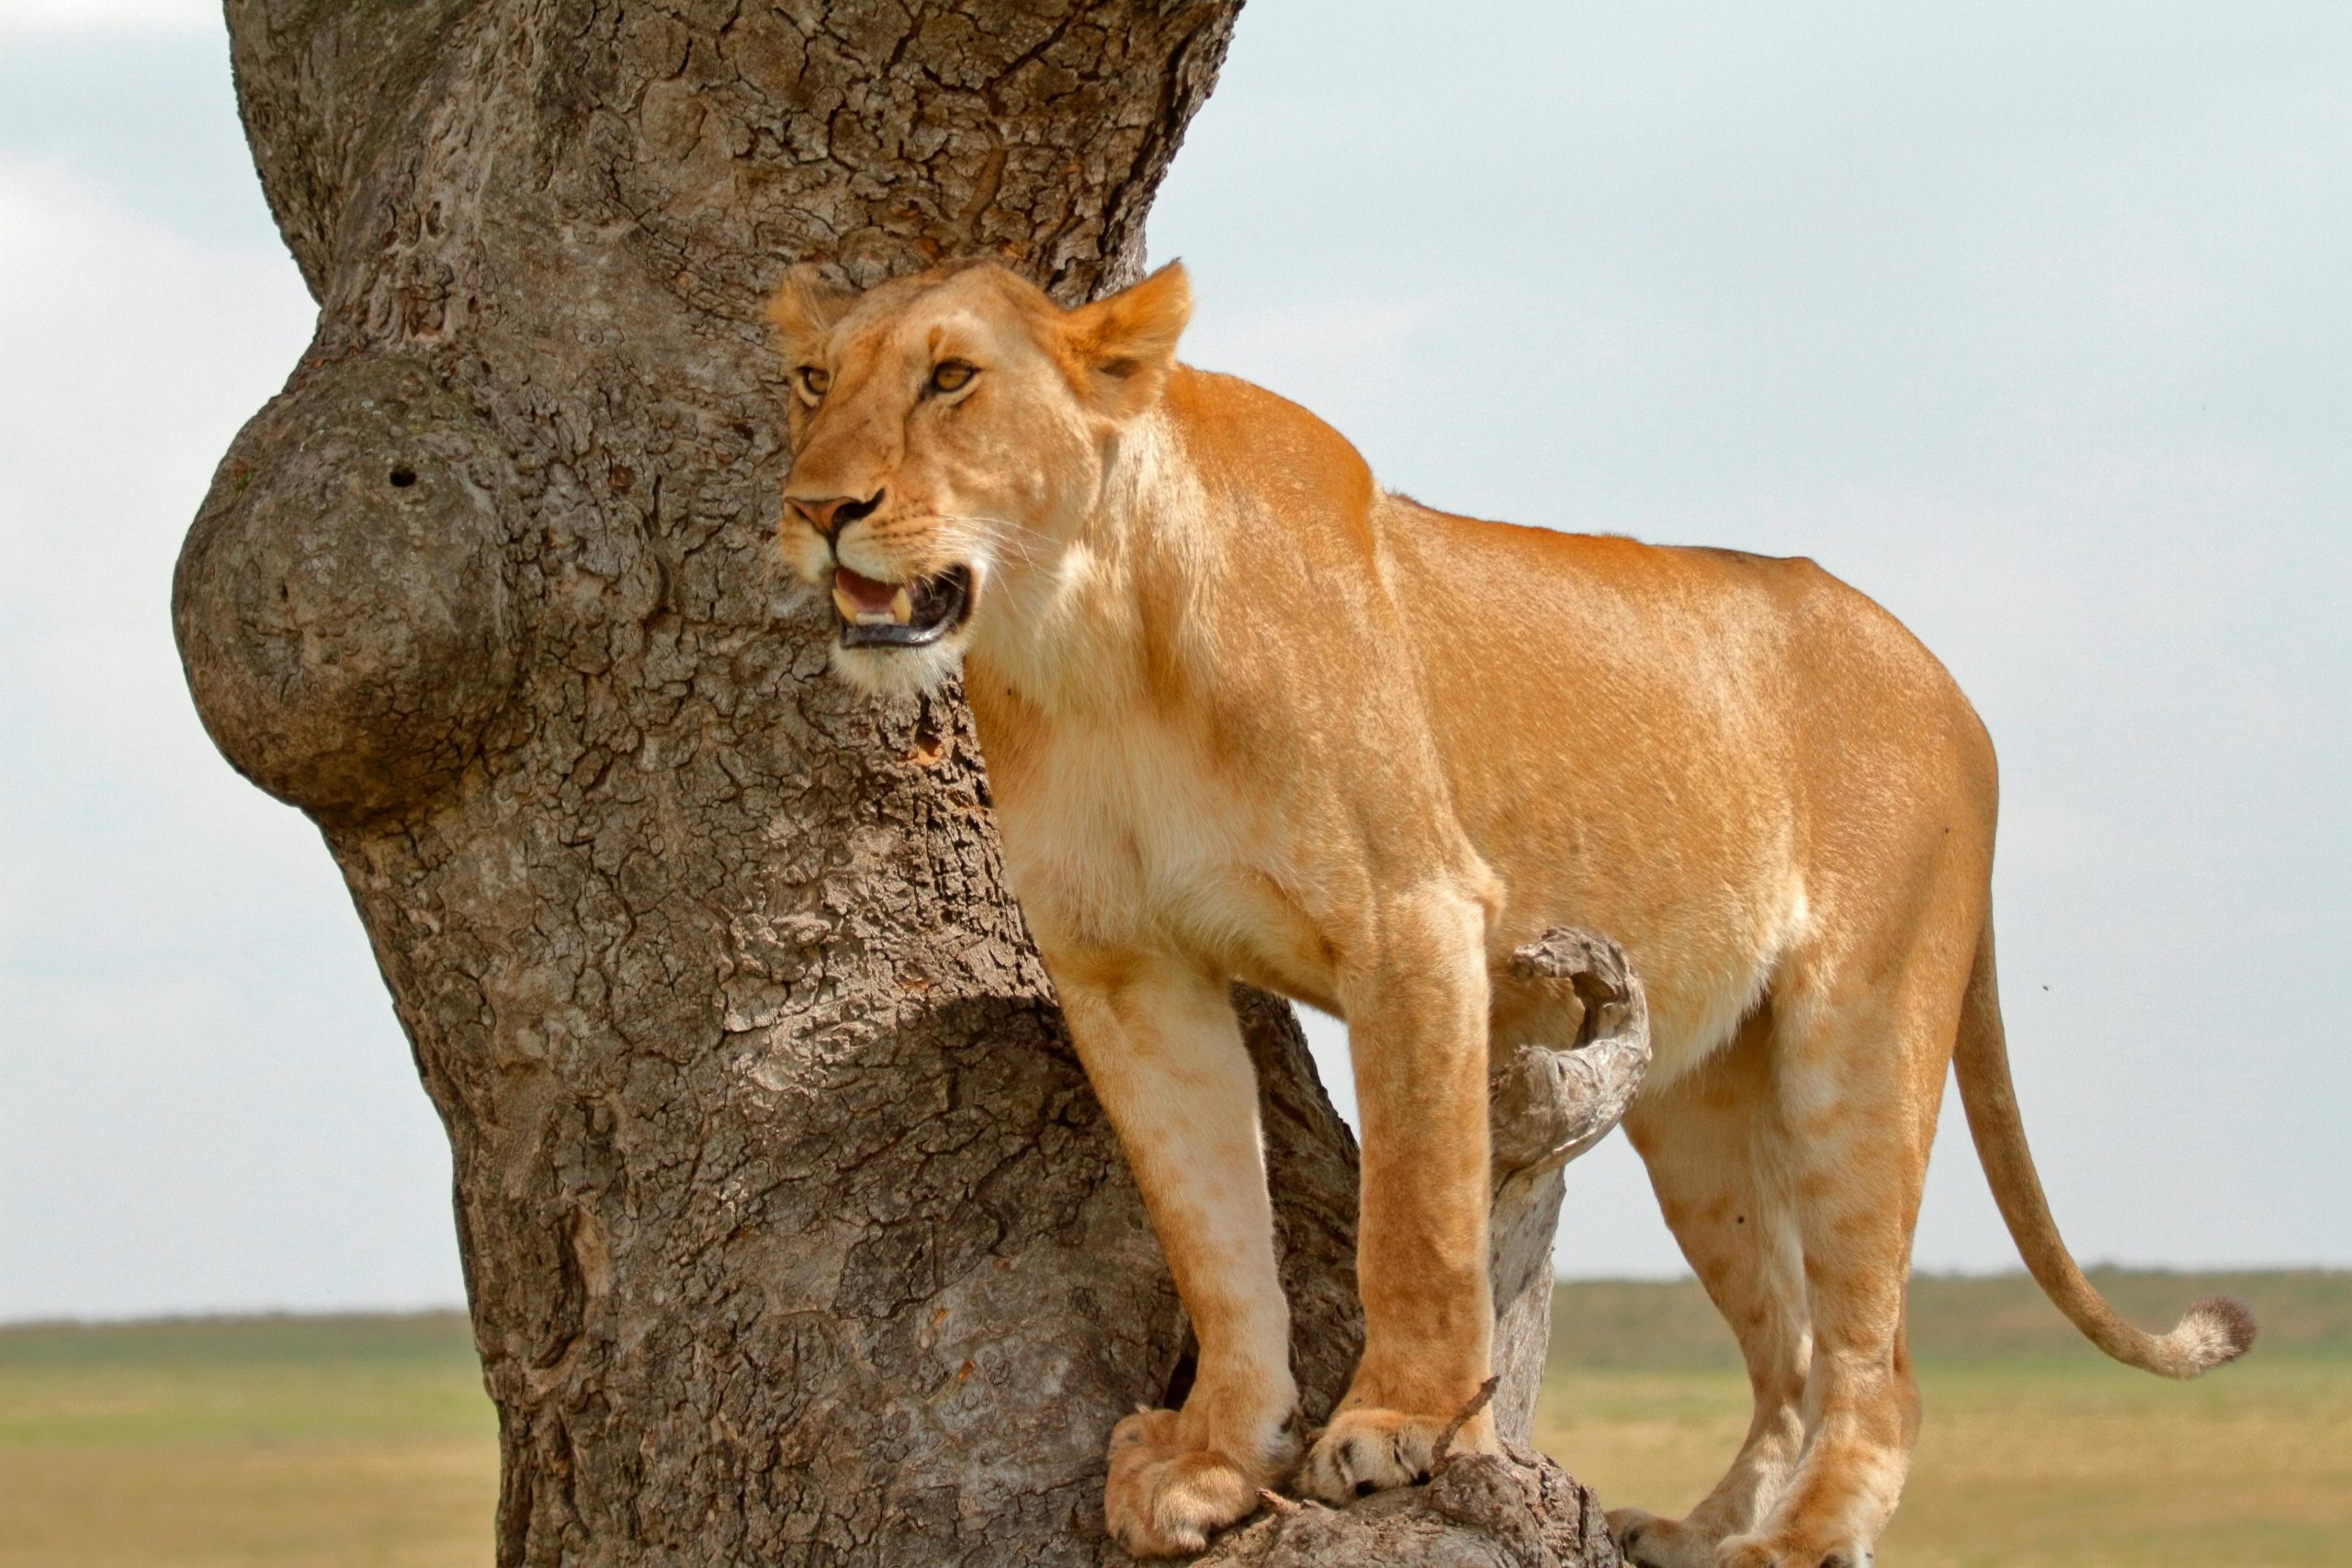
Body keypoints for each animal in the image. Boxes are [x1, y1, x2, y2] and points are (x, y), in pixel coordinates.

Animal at [766, 258, 2254, 1565]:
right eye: (811, 379)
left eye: (952, 377)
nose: (817, 506)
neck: (1083, 641)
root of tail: (1955, 688)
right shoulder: (1124, 967)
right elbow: (1210, 1236)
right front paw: (1212, 1456)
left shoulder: (1412, 917)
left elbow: (1417, 1213)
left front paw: (1395, 1426)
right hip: (1690, 1114)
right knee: (1789, 1354)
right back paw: (1699, 1530)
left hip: (1863, 1033)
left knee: (1876, 1357)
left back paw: (1798, 1539)